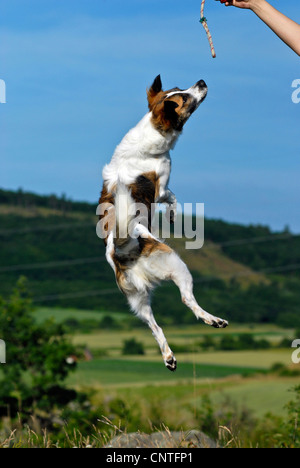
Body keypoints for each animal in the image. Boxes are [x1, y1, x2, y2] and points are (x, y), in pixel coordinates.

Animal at [98, 75, 227, 372]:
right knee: (187, 299)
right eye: (185, 98)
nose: (201, 81)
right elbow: (172, 197)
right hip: (177, 266)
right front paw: (171, 215)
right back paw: (213, 319)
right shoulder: (162, 187)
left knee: (155, 327)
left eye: (178, 89)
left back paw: (169, 356)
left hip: (137, 300)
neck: (152, 129)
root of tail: (121, 246)